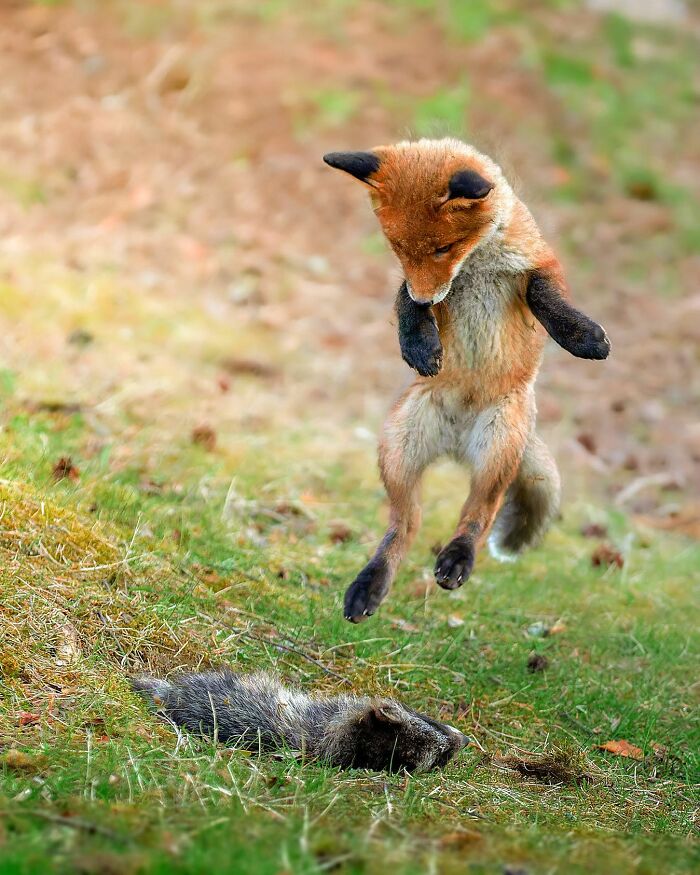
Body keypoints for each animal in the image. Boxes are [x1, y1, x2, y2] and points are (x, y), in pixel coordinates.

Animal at [323, 138, 610, 623]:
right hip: (399, 451)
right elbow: (405, 305)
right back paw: (370, 584)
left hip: (497, 449)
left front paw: (583, 336)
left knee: (479, 513)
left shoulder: (536, 265)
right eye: (398, 247)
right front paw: (418, 346)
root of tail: (457, 445)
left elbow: (546, 296)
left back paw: (457, 558)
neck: (476, 265)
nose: (425, 294)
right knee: (406, 524)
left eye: (443, 248)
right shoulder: (418, 289)